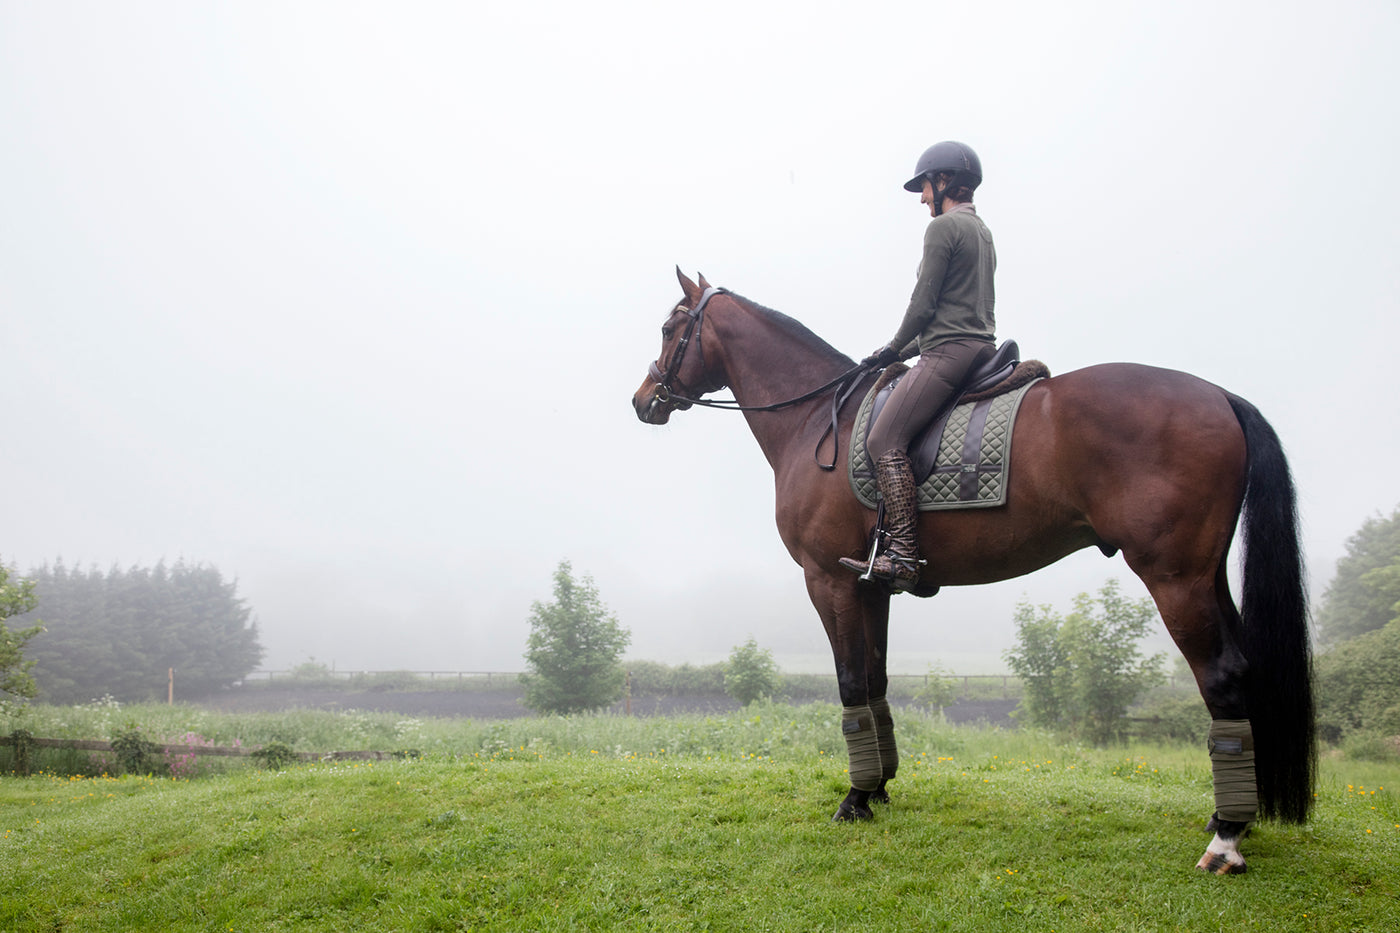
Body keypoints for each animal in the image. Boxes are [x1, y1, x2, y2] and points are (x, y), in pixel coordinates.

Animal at [631, 268, 1314, 875]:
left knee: (1222, 677)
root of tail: (1218, 395)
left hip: (1175, 580)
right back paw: (1233, 817)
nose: (643, 400)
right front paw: (878, 788)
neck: (816, 420)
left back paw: (1226, 839)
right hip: (1206, 577)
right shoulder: (871, 585)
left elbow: (850, 683)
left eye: (669, 328)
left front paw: (853, 799)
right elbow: (875, 681)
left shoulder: (829, 580)